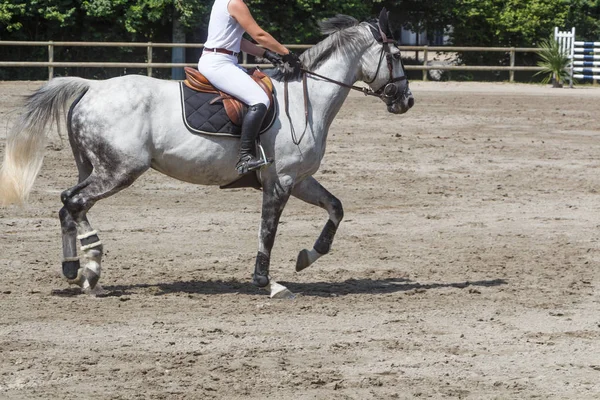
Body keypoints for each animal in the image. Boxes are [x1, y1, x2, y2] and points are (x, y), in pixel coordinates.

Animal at [0, 11, 412, 296]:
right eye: (395, 53)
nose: (406, 100)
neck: (304, 100)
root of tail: (90, 86)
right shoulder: (280, 182)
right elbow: (267, 231)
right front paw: (266, 282)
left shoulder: (299, 179)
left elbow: (335, 208)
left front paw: (307, 257)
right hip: (118, 170)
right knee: (73, 201)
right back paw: (92, 266)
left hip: (94, 167)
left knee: (69, 207)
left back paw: (75, 268)